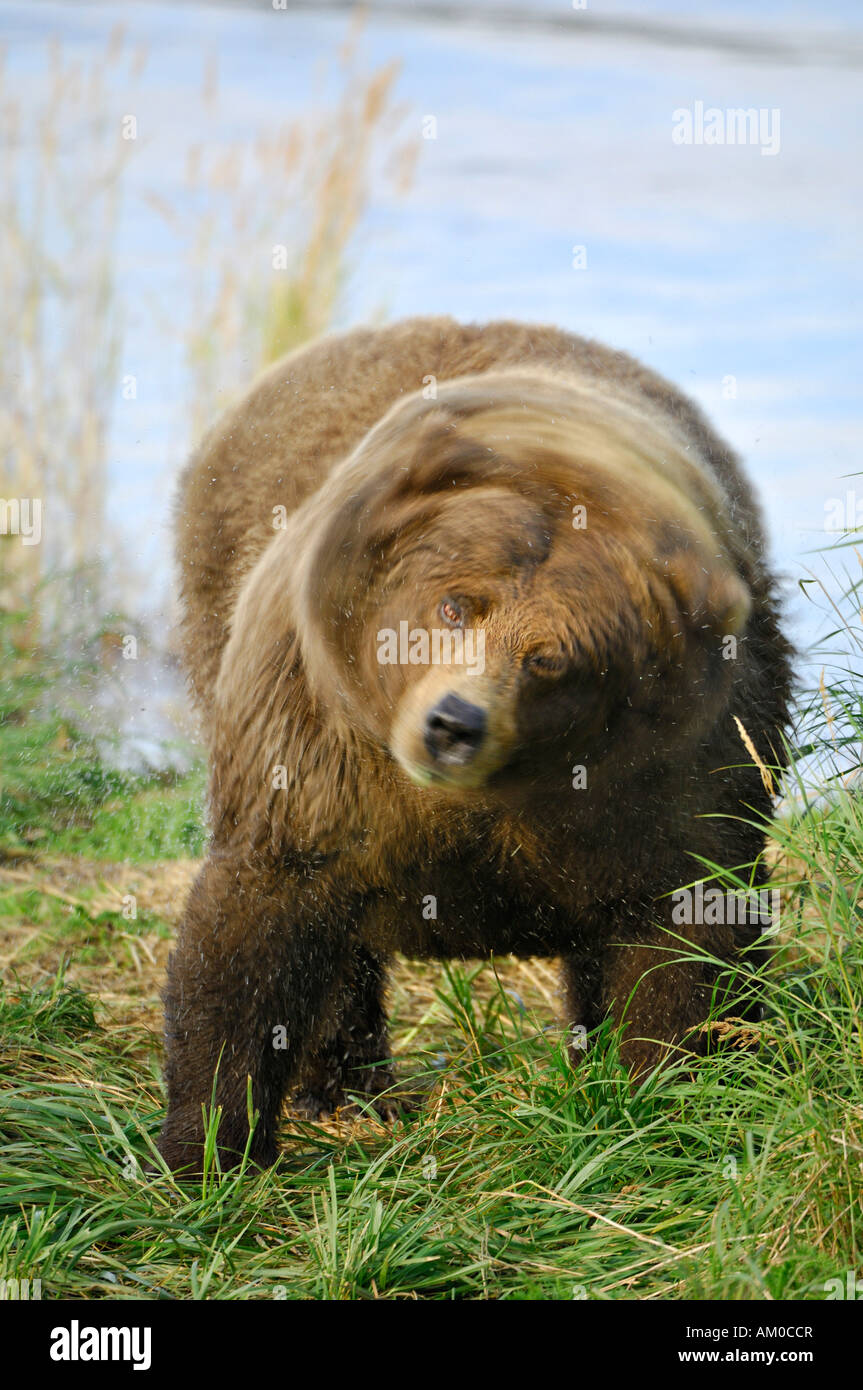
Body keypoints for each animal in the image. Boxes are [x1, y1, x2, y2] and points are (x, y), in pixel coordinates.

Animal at [158, 318, 789, 1173]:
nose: (452, 724)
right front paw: (204, 1146)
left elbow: (685, 930)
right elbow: (259, 924)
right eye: (457, 604)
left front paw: (661, 1098)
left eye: (550, 657)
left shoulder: (675, 773)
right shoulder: (317, 748)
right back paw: (349, 1090)